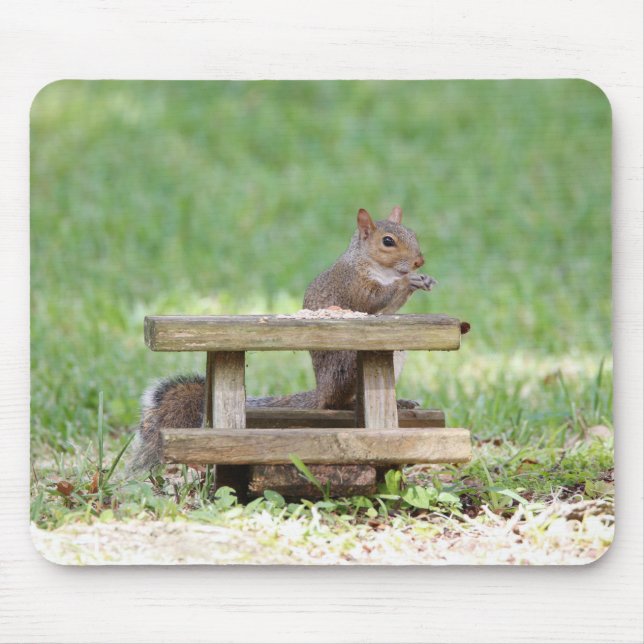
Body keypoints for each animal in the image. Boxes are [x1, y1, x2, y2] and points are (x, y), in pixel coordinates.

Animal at [127, 206, 436, 474]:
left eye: (413, 233)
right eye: (388, 241)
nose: (420, 261)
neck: (376, 267)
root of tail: (322, 389)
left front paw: (422, 279)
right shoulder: (353, 284)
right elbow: (373, 301)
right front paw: (408, 281)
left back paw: (400, 403)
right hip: (347, 364)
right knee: (336, 404)